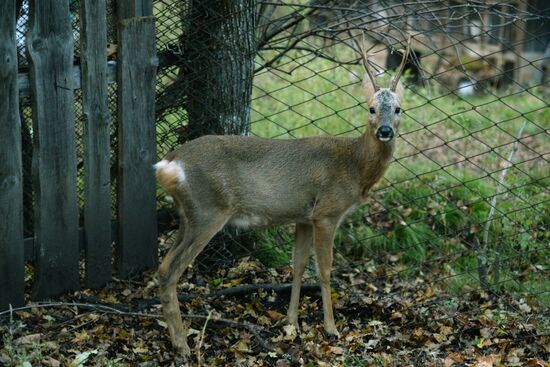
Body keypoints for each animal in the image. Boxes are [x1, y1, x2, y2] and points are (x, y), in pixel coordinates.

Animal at [155, 38, 410, 360]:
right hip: (207, 211)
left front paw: (291, 321)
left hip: (188, 215)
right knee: (171, 271)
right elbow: (324, 270)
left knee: (162, 266)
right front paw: (331, 328)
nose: (385, 131)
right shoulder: (326, 212)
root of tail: (168, 163)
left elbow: (297, 265)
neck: (355, 167)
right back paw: (182, 345)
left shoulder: (304, 217)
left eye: (399, 109)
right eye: (371, 108)